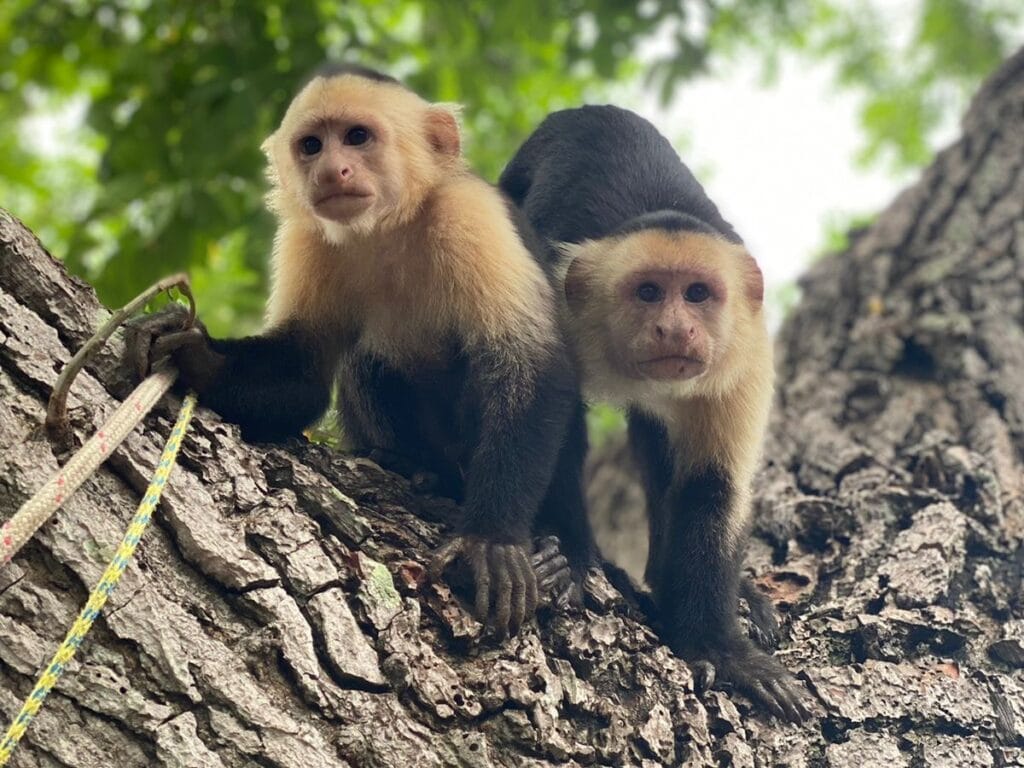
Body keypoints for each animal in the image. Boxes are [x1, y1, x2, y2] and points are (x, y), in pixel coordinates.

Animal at [127, 64, 595, 638]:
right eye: (311, 146)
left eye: (356, 137)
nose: (332, 171)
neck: (389, 229)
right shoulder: (307, 237)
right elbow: (303, 370)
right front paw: (199, 355)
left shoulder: (471, 213)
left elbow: (529, 366)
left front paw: (492, 541)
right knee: (367, 359)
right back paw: (416, 466)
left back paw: (565, 552)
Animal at [498, 105, 810, 721]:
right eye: (647, 293)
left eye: (696, 294)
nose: (674, 328)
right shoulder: (556, 301)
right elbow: (548, 426)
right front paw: (573, 558)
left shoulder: (744, 350)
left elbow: (711, 485)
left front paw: (714, 644)